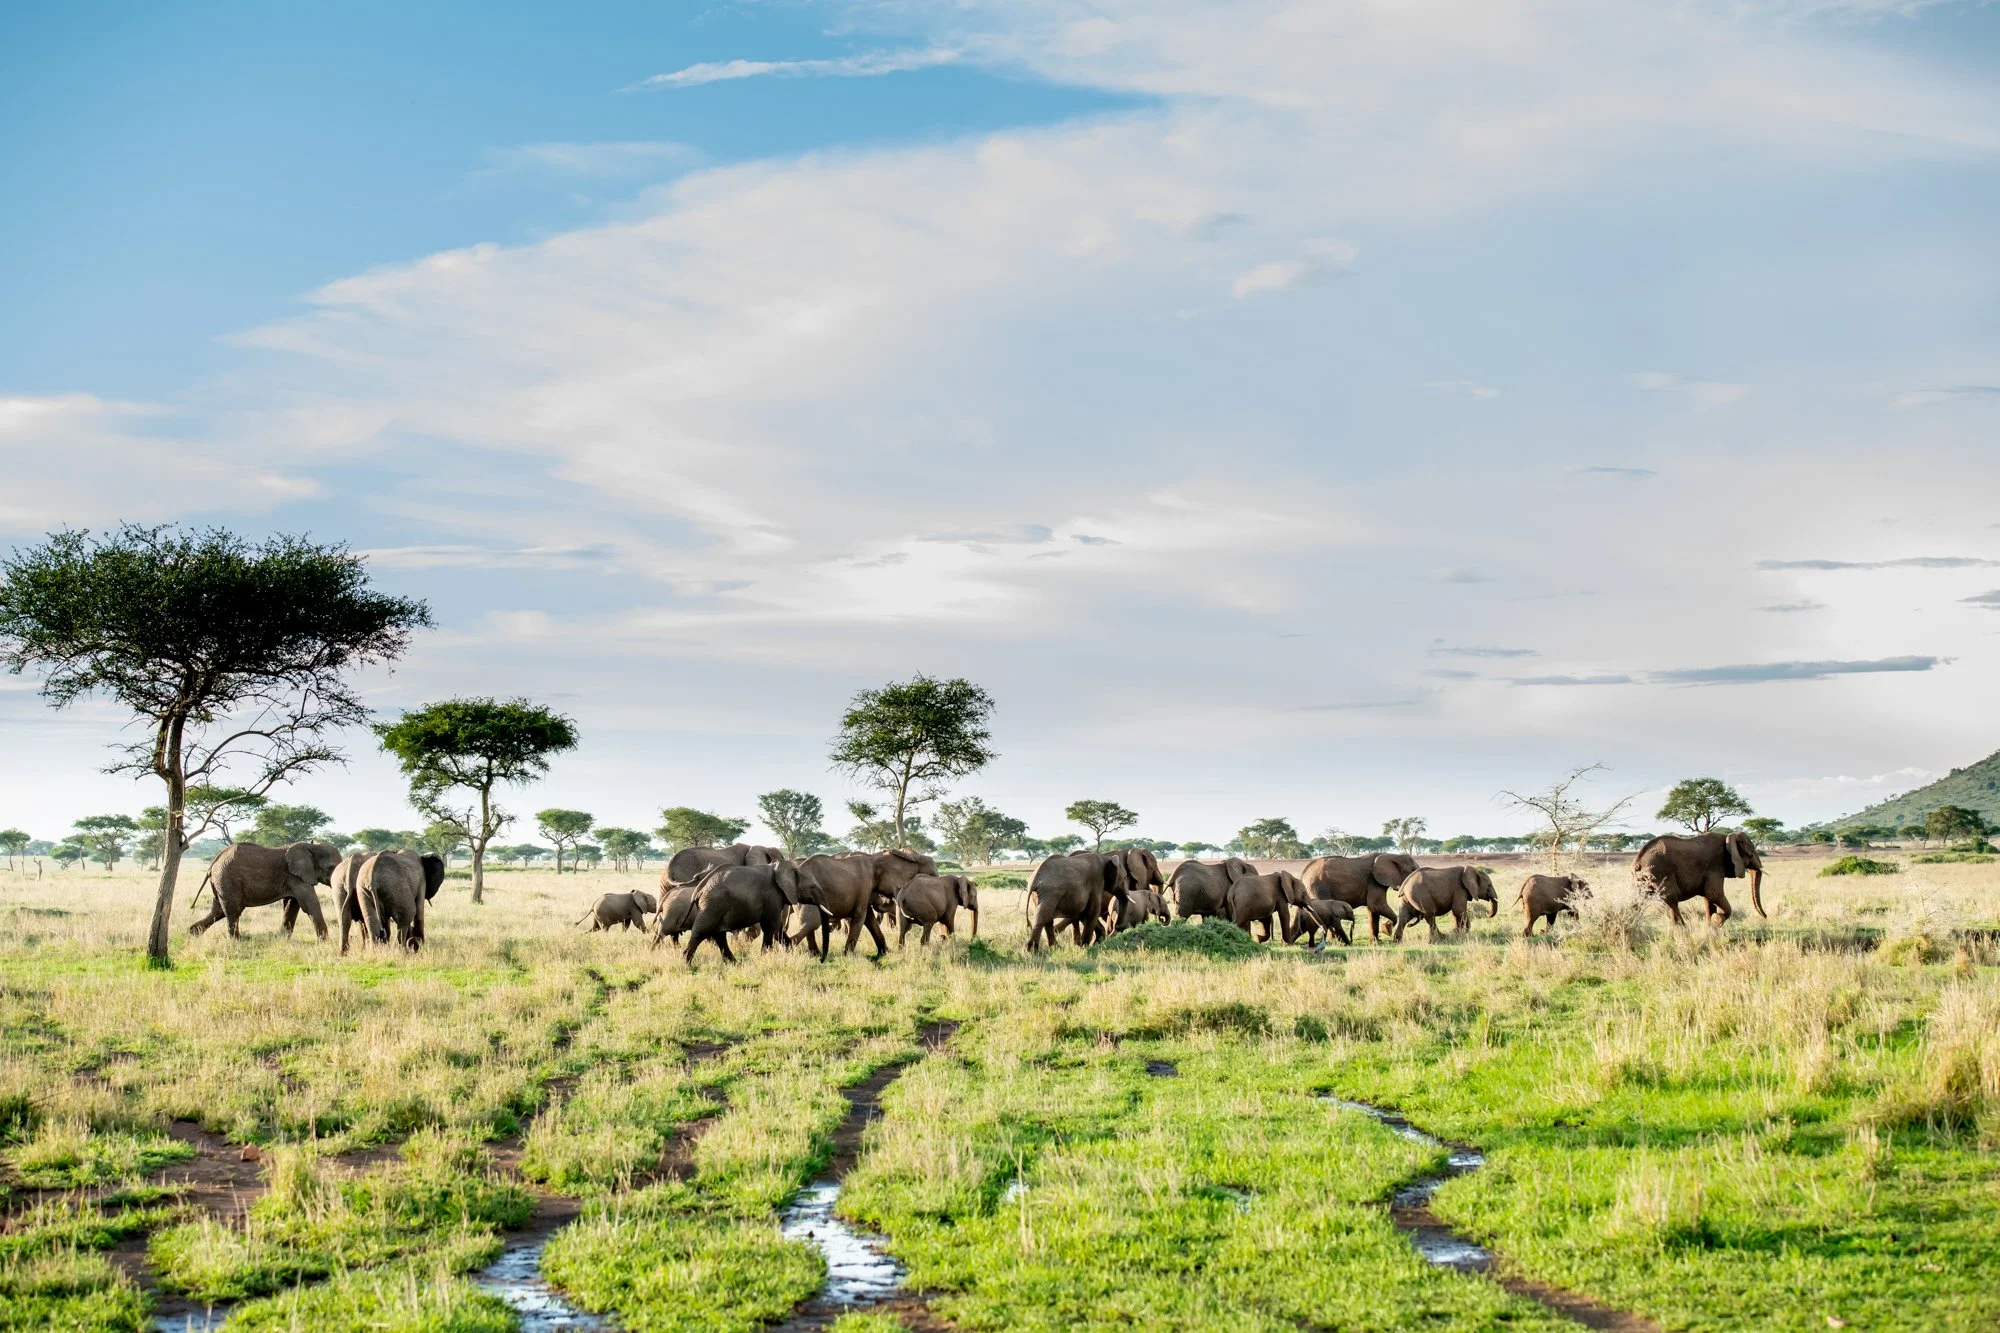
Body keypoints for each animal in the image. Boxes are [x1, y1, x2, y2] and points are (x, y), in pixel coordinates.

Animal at [188, 840, 341, 939]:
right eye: (331, 867)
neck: (311, 846)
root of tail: (213, 863)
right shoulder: (295, 877)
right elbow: (309, 904)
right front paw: (324, 942)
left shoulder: (294, 877)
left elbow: (292, 905)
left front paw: (283, 939)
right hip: (227, 879)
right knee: (233, 911)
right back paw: (236, 941)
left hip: (221, 883)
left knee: (218, 910)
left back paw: (192, 934)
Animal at [675, 860, 803, 963]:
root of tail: (699, 888)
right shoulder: (773, 896)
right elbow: (771, 926)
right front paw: (765, 957)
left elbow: (777, 928)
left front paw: (791, 952)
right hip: (712, 906)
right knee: (701, 933)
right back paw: (687, 964)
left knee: (718, 935)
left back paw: (734, 963)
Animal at [1631, 831, 1765, 924]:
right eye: (1752, 852)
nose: (1765, 917)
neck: (1727, 836)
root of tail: (1638, 861)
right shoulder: (1715, 865)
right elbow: (1714, 894)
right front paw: (1717, 921)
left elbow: (1709, 899)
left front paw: (1711, 927)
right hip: (1661, 873)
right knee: (1672, 900)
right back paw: (1682, 930)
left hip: (1643, 879)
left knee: (1639, 900)